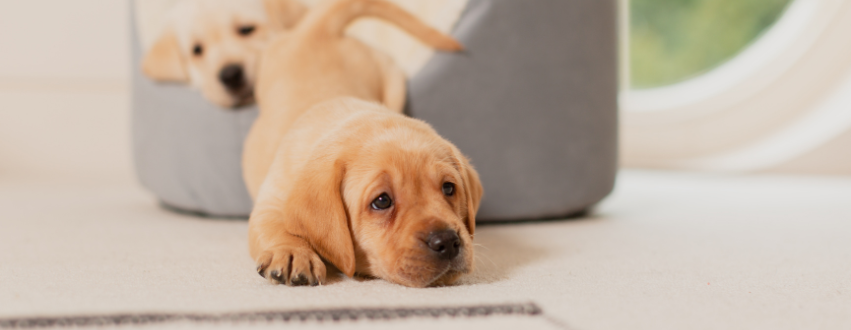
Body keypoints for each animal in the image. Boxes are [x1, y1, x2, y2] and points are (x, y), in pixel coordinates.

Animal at [248, 0, 486, 288]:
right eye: (382, 201)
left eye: (449, 188)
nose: (448, 241)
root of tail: (318, 31)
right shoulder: (270, 201)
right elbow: (274, 225)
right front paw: (292, 251)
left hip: (393, 81)